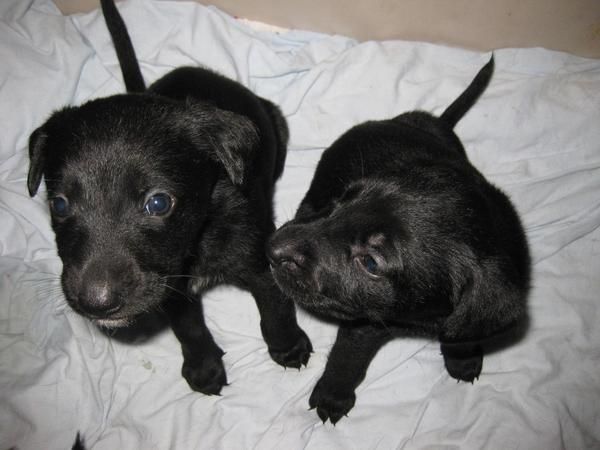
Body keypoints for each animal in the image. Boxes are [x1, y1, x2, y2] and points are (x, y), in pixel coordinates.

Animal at [25, 0, 312, 394]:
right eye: (59, 204)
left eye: (158, 203)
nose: (96, 304)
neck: (200, 236)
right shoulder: (169, 287)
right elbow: (188, 328)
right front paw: (204, 366)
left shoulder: (260, 263)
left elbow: (276, 308)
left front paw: (288, 347)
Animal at [268, 57, 528, 426]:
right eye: (342, 201)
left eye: (371, 262)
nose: (272, 247)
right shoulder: (365, 322)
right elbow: (347, 359)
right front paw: (333, 396)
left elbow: (463, 333)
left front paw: (462, 358)